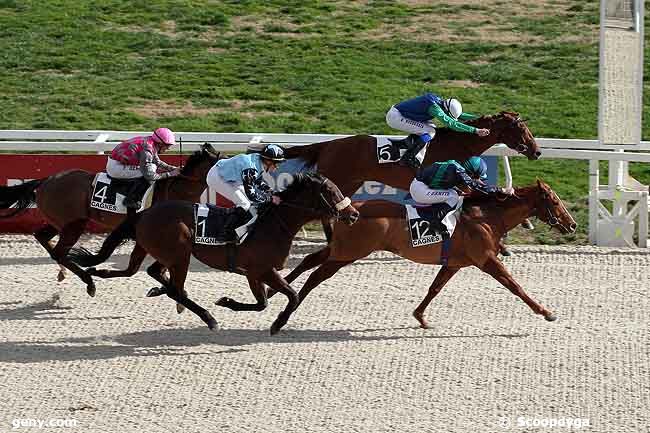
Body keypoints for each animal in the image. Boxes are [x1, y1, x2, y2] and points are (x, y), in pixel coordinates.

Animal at [0, 143, 220, 296]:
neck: (176, 191)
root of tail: (46, 180)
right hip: (74, 224)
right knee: (59, 252)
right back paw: (88, 281)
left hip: (61, 222)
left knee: (43, 237)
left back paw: (65, 272)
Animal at [67, 172, 360, 330]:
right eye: (331, 191)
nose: (354, 215)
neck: (275, 224)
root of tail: (145, 213)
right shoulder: (260, 269)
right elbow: (289, 297)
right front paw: (276, 324)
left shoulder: (256, 272)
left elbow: (264, 301)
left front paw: (228, 302)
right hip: (180, 252)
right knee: (174, 287)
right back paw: (207, 317)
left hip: (158, 249)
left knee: (141, 271)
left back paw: (99, 274)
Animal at [270, 179, 576, 330]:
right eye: (555, 201)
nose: (572, 224)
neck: (487, 215)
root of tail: (349, 208)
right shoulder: (486, 259)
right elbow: (515, 286)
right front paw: (546, 312)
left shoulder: (455, 263)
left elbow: (434, 288)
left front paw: (420, 316)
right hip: (347, 254)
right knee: (314, 278)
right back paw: (281, 318)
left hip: (341, 249)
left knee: (310, 261)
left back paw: (275, 290)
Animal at [280, 111, 540, 238]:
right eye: (521, 129)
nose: (536, 151)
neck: (457, 143)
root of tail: (328, 145)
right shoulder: (456, 180)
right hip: (336, 180)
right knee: (327, 212)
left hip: (349, 183)